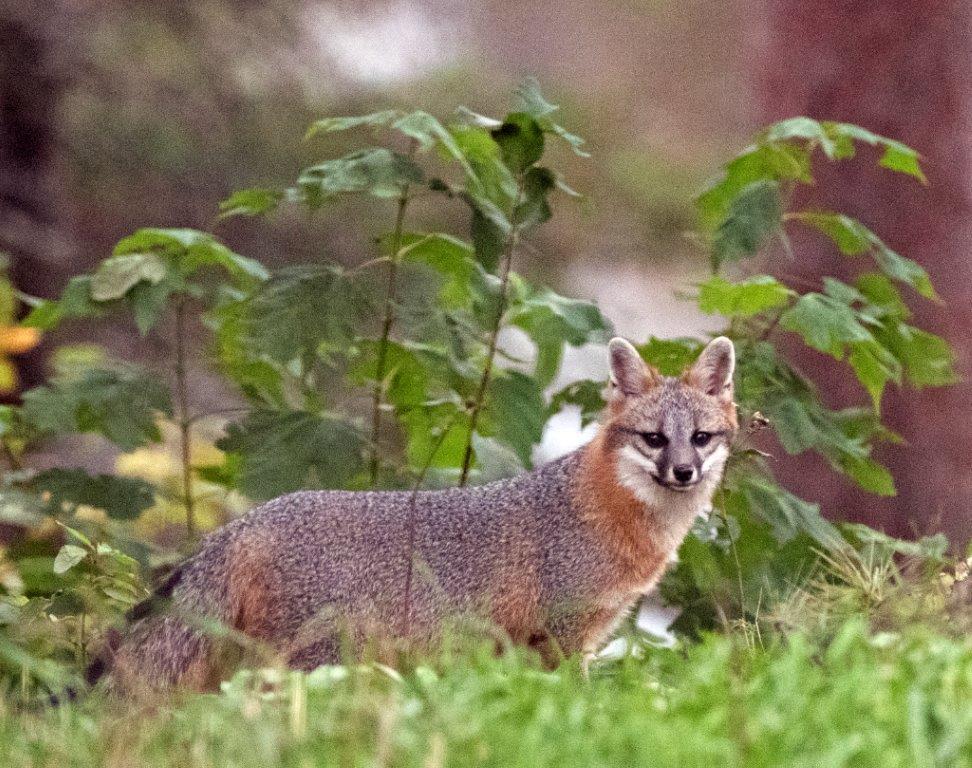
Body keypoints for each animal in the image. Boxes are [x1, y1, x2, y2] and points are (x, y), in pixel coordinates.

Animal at [98, 336, 737, 692]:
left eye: (701, 438)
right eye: (654, 439)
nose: (683, 472)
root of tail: (242, 523)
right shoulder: (560, 635)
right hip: (316, 660)